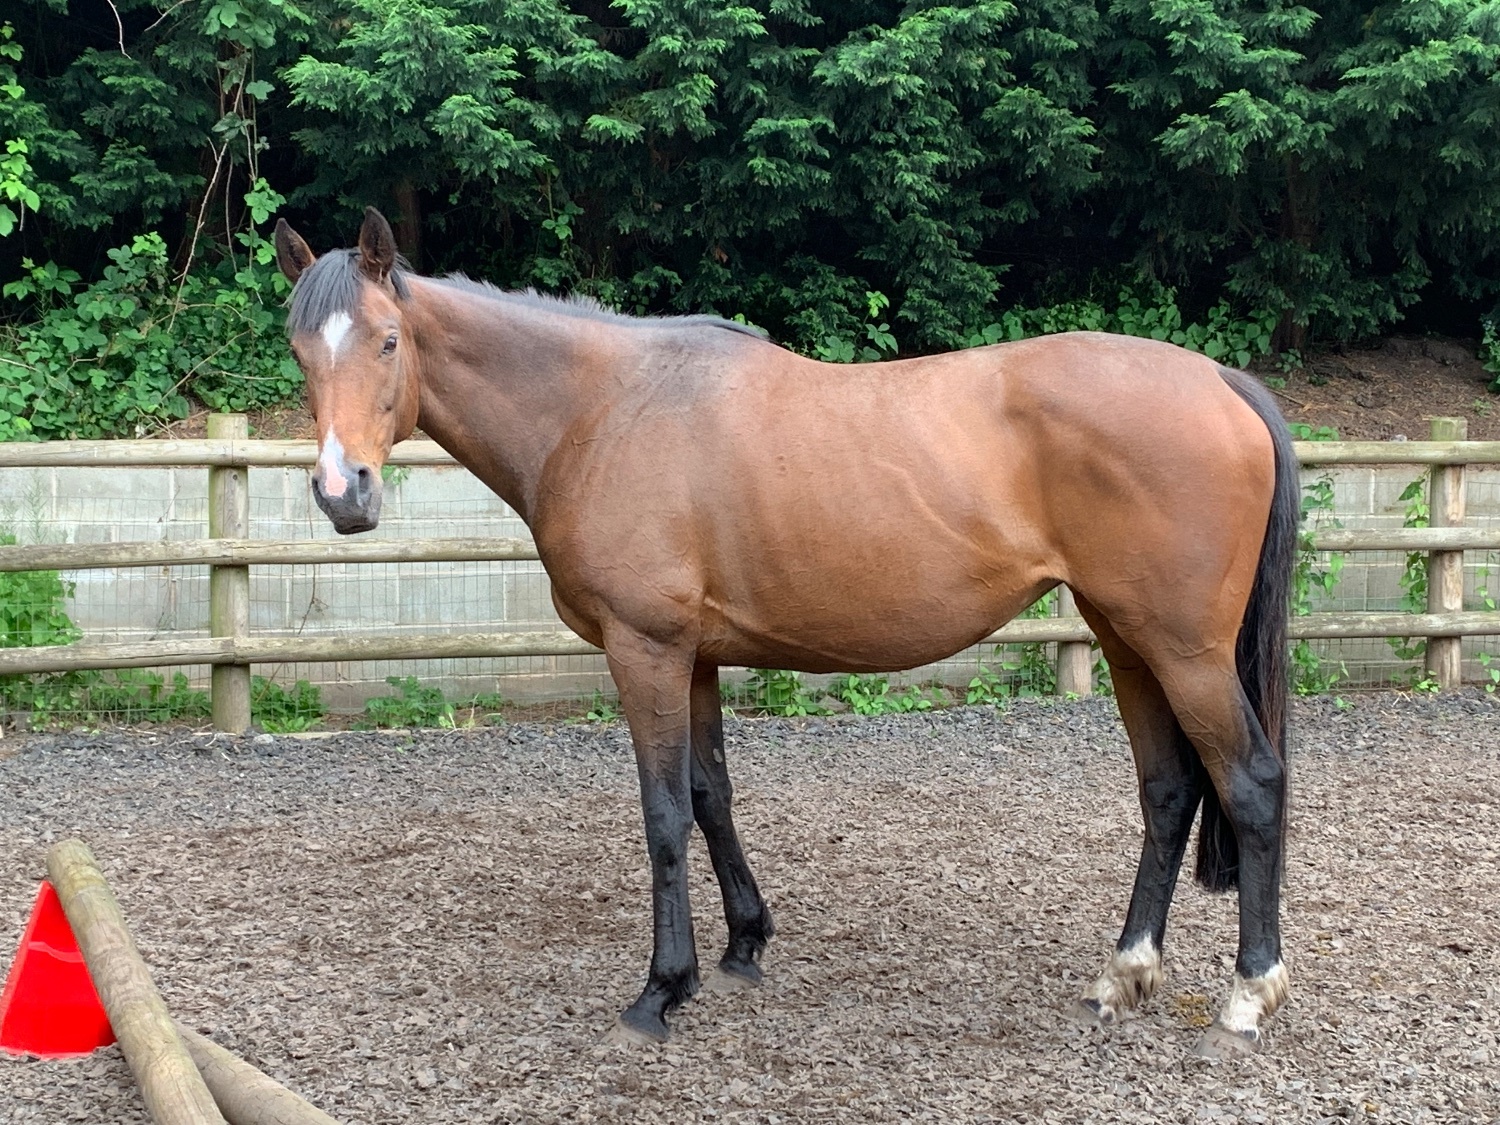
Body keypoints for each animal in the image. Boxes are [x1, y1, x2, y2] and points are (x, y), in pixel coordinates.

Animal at [273, 208, 1297, 1057]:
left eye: (389, 341)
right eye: (301, 352)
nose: (343, 492)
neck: (601, 408)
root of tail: (1219, 378)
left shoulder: (644, 649)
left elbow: (661, 813)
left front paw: (661, 990)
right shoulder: (692, 657)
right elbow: (709, 794)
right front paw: (744, 944)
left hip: (1186, 653)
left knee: (1250, 784)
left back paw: (1247, 997)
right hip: (1129, 643)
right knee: (1168, 792)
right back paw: (1122, 976)